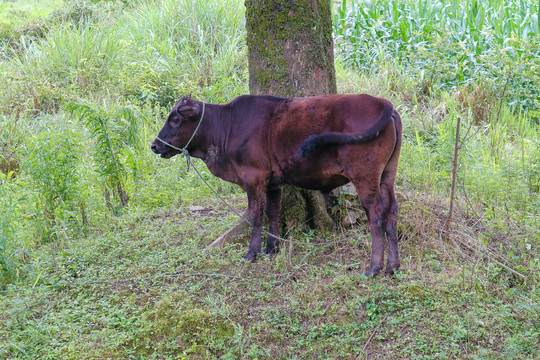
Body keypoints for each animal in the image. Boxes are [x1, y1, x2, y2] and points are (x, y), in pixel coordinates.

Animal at [151, 94, 400, 278]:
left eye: (175, 120)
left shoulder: (253, 177)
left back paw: (373, 268)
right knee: (392, 211)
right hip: (387, 174)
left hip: (364, 176)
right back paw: (392, 267)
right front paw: (272, 248)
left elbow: (256, 215)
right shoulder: (273, 183)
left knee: (376, 214)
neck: (227, 127)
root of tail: (383, 103)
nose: (154, 145)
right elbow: (273, 212)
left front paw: (252, 253)